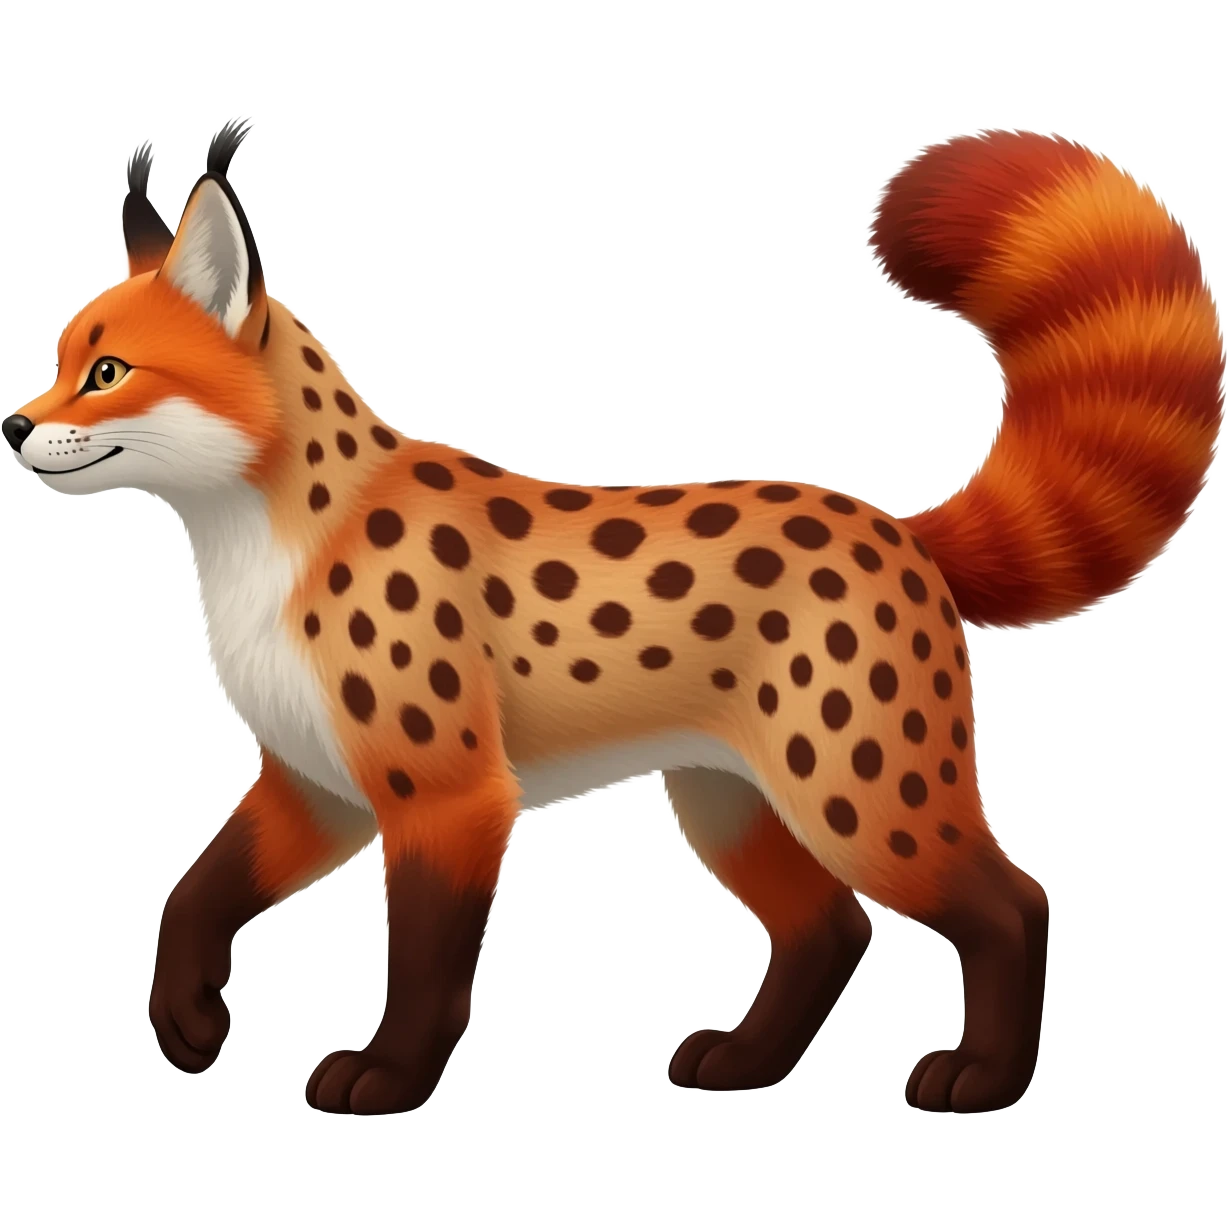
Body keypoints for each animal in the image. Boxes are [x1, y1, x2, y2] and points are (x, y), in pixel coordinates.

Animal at [4, 116, 1224, 1117]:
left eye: (109, 371)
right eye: (62, 360)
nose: (13, 425)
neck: (266, 548)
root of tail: (904, 532)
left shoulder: (448, 794)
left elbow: (428, 969)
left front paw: (386, 1081)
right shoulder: (318, 782)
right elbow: (194, 896)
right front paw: (187, 1022)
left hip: (862, 796)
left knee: (1013, 907)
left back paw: (981, 1080)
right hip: (732, 800)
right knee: (831, 927)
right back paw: (744, 1065)